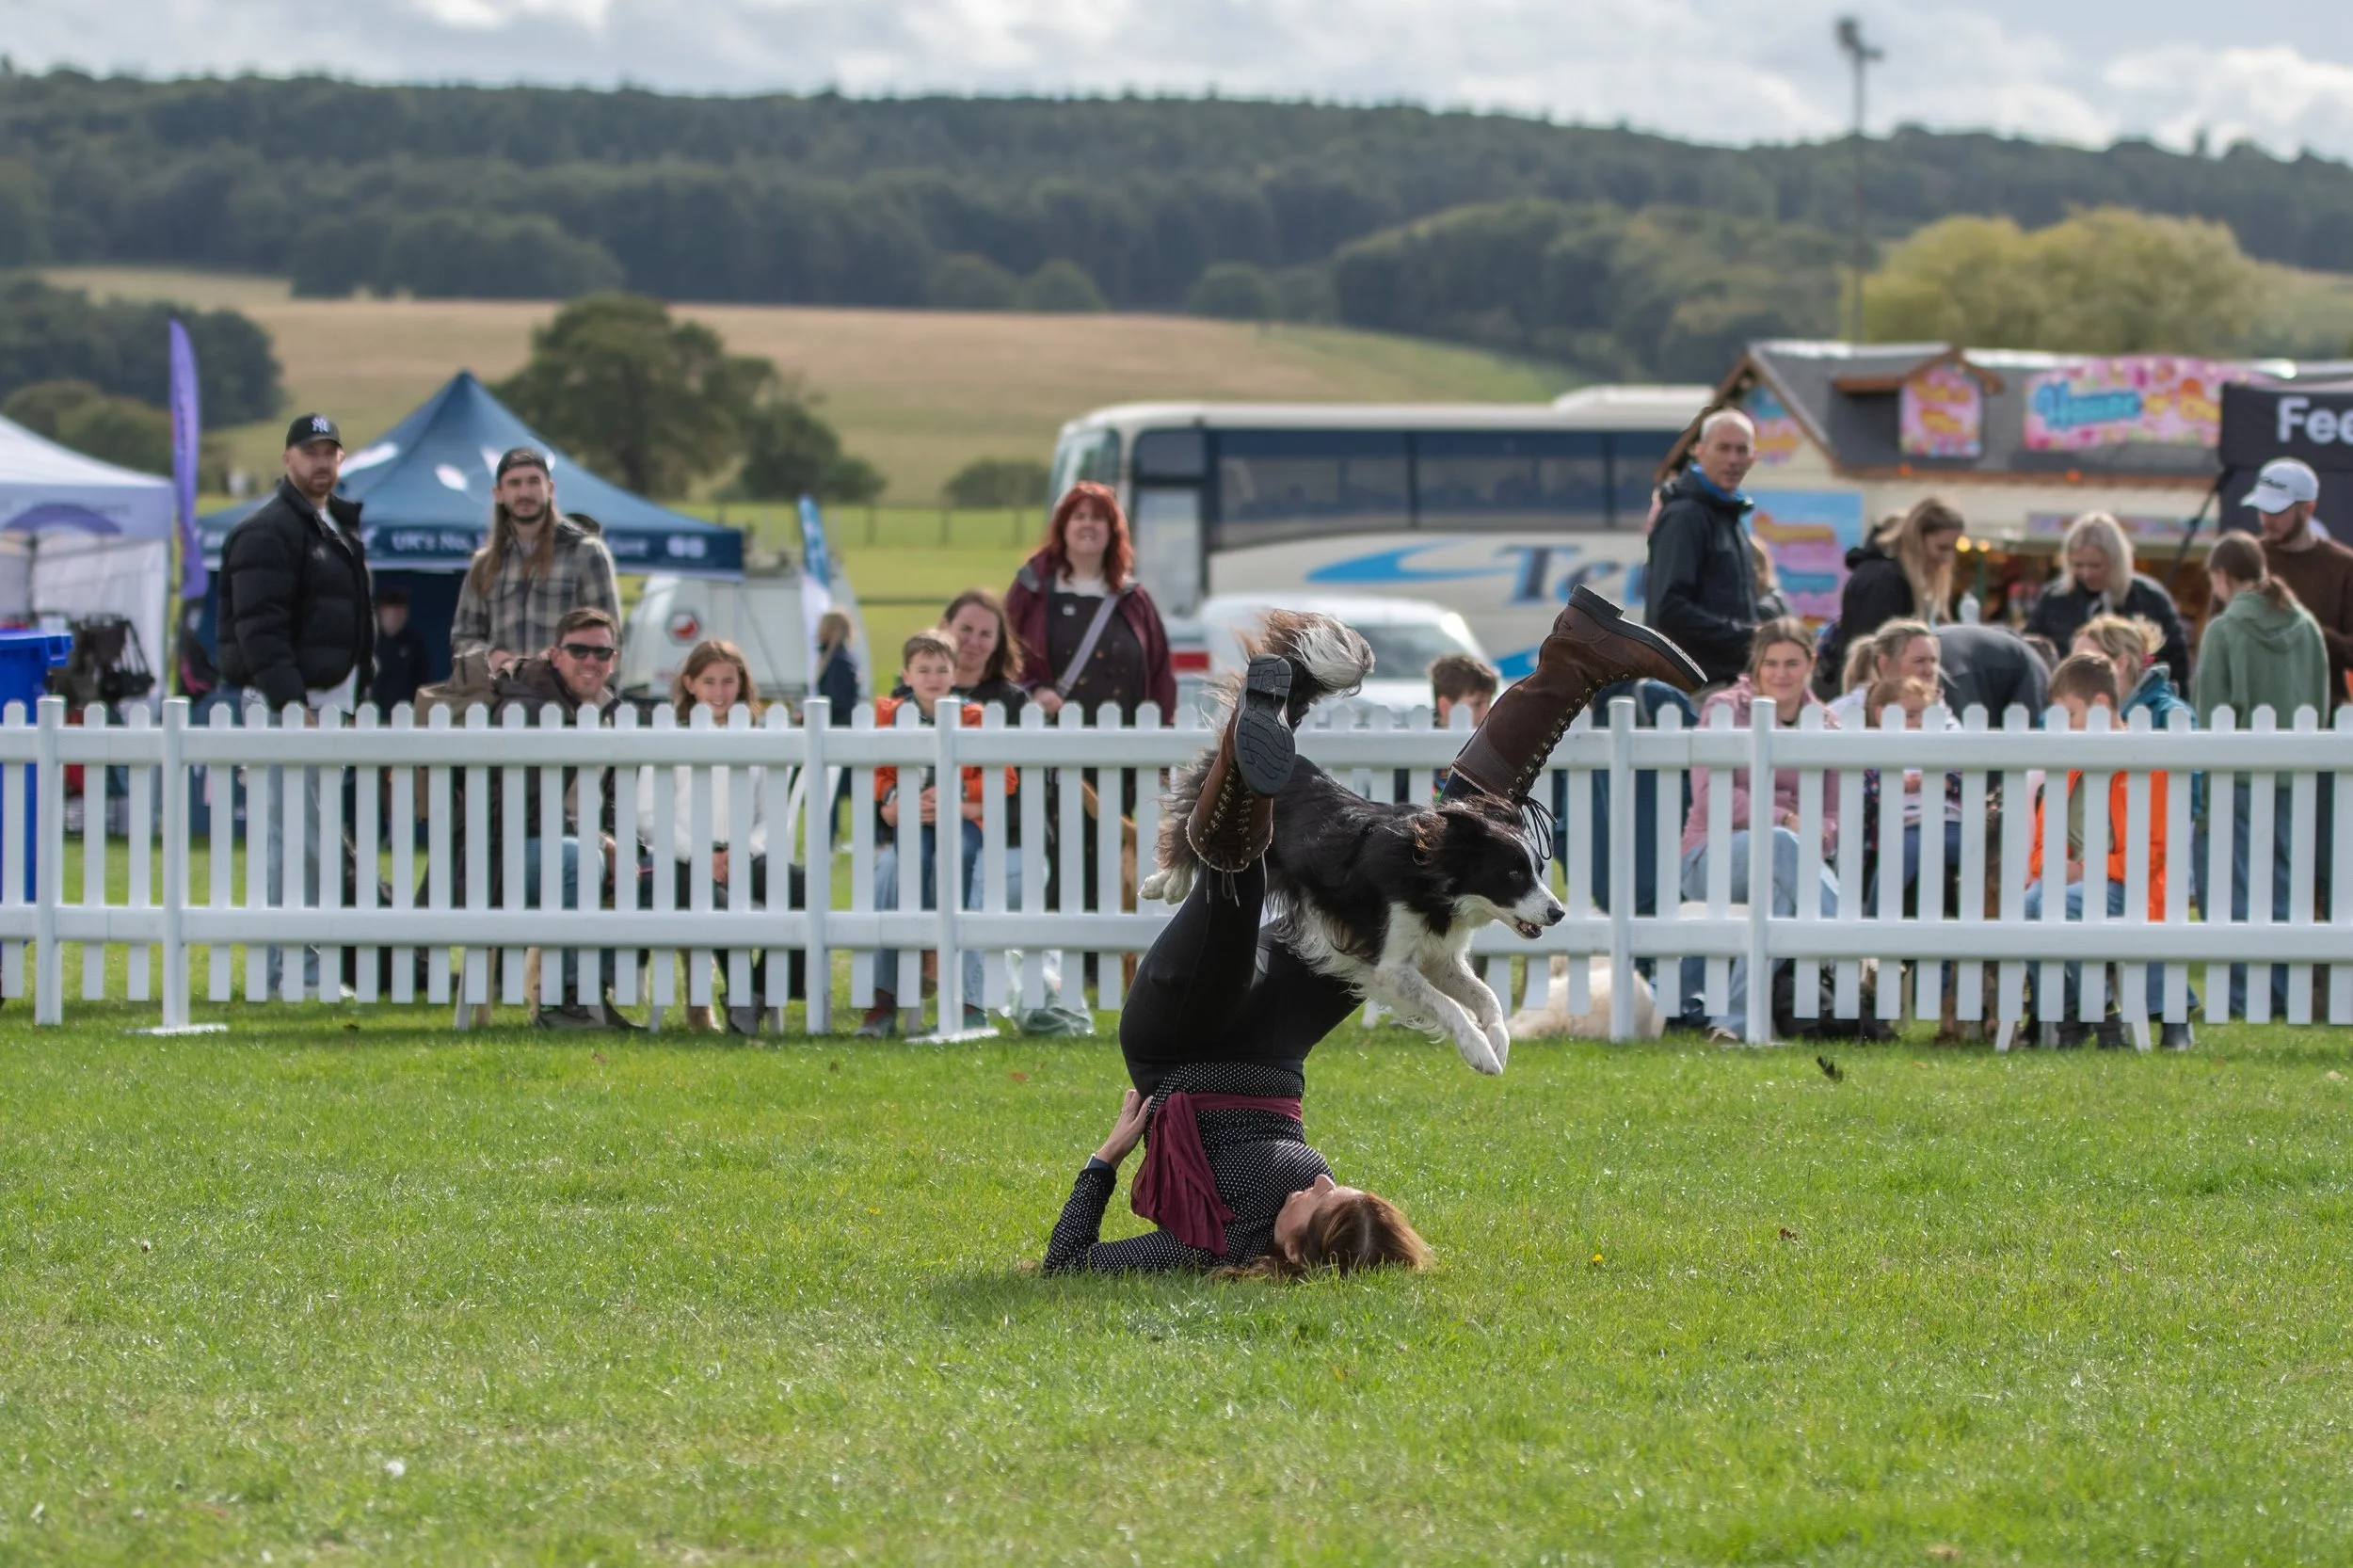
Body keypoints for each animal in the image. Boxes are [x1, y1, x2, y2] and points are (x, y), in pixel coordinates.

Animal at [1141, 614, 1563, 1075]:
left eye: (1538, 870)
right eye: (1513, 872)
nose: (1558, 913)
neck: (1434, 877)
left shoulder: (1440, 955)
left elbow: (1485, 995)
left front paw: (1499, 1043)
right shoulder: (1390, 964)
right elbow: (1446, 1004)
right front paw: (1479, 1051)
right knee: (1187, 828)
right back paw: (1165, 883)